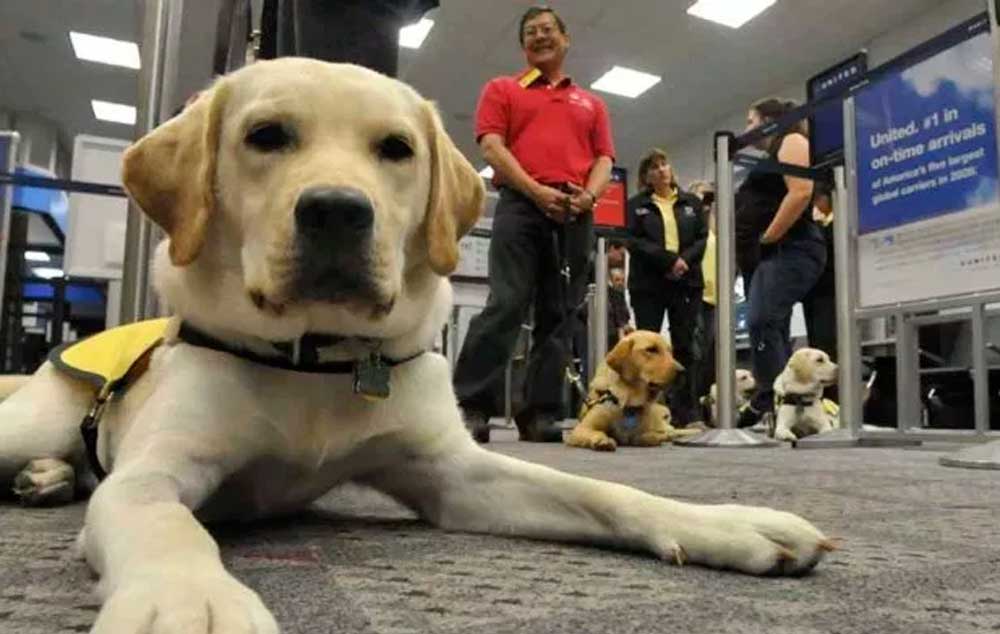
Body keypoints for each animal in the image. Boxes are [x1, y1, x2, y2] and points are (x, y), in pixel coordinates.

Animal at [568, 330, 700, 450]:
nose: (682, 371)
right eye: (651, 349)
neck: (629, 400)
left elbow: (647, 436)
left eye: (670, 351)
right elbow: (597, 432)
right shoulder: (581, 429)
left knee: (671, 431)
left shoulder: (645, 431)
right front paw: (602, 440)